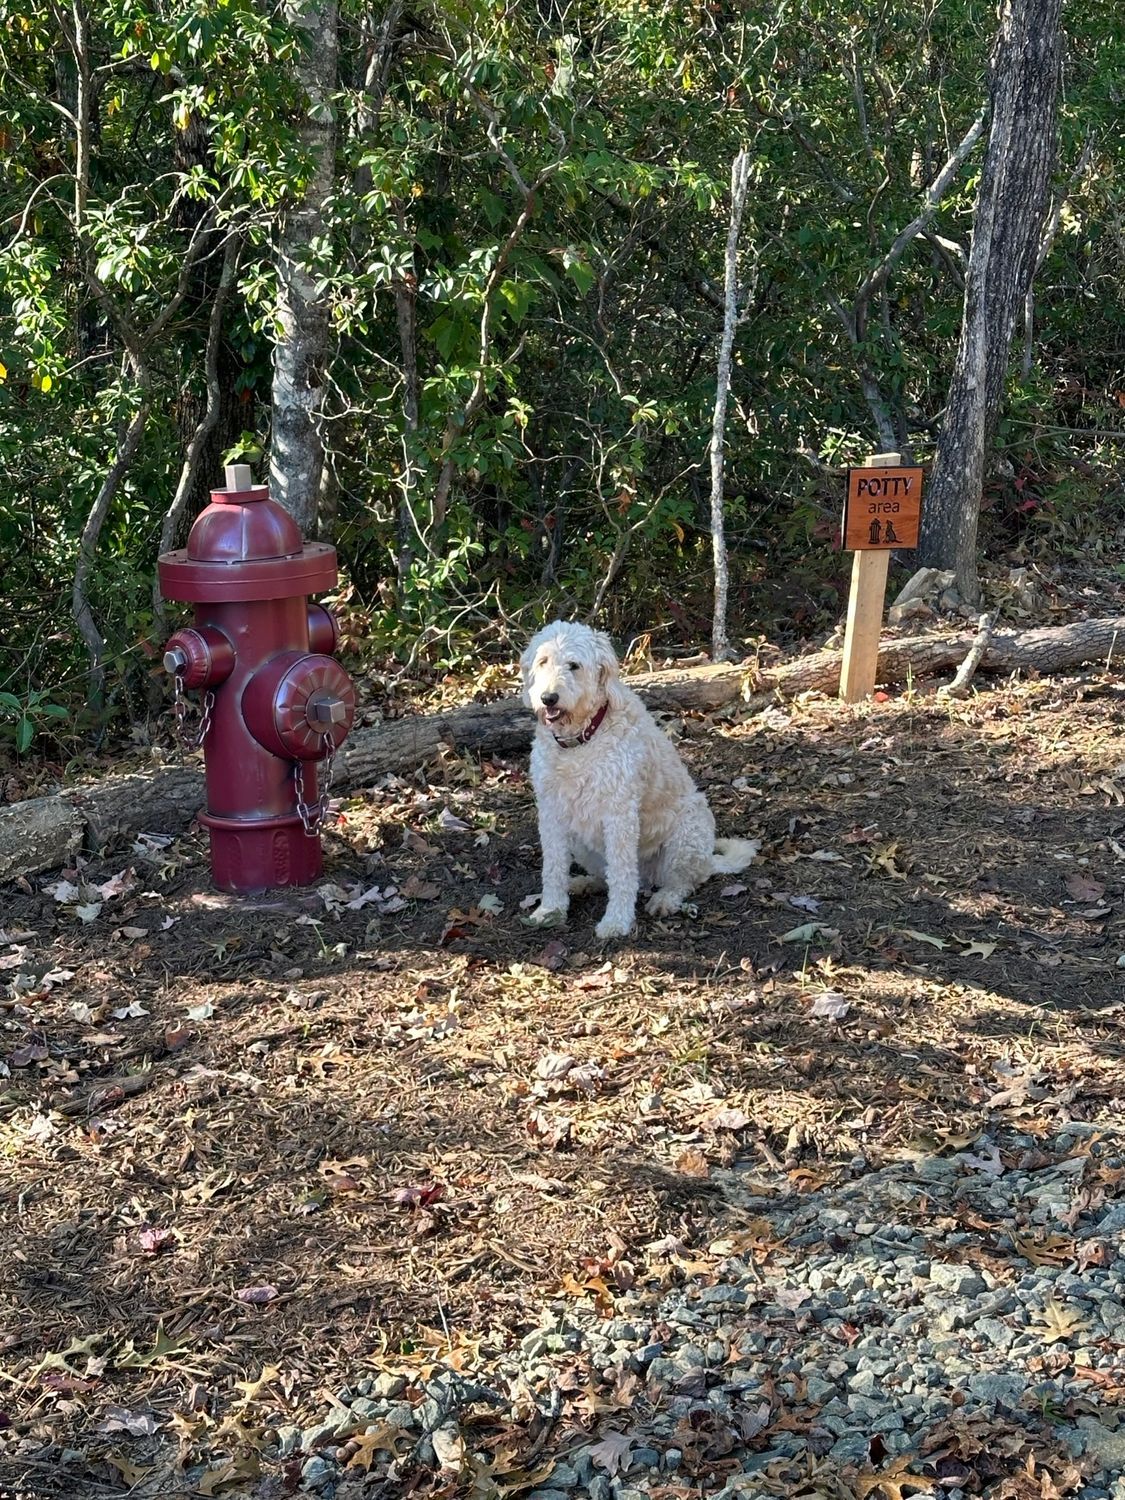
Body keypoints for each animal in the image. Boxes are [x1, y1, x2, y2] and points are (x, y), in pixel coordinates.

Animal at [525, 618, 762, 936]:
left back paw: (665, 899)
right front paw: (550, 909)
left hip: (687, 834)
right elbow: (553, 866)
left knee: (683, 881)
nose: (548, 698)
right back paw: (584, 883)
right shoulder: (551, 811)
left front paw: (616, 921)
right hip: (581, 841)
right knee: (606, 876)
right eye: (543, 661)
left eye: (574, 665)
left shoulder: (620, 814)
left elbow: (622, 873)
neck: (583, 738)